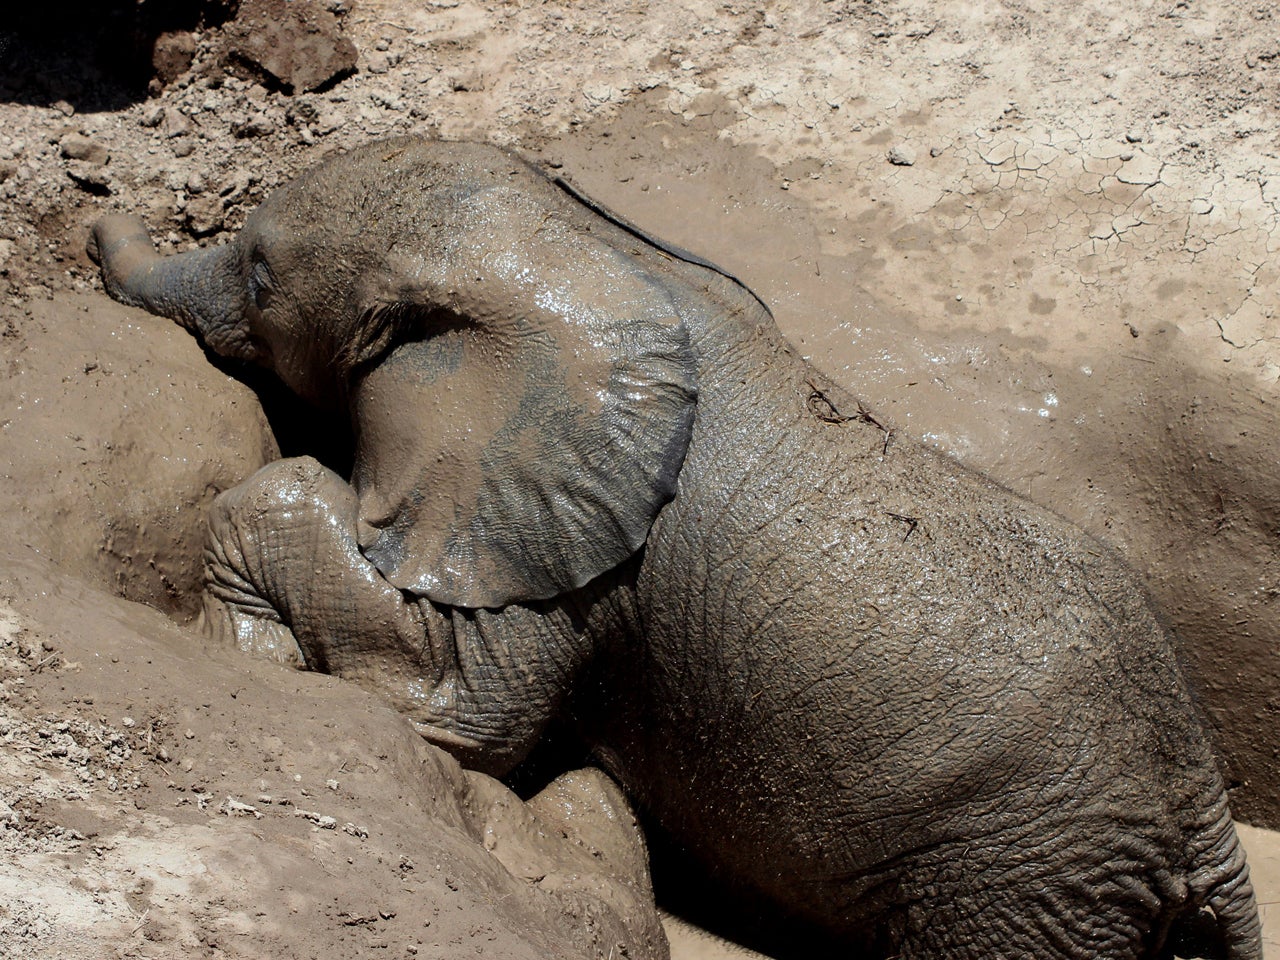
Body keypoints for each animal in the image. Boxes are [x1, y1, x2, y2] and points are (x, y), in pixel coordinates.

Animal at [87, 136, 1259, 960]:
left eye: (257, 276)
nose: (94, 224)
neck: (589, 253)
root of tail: (1207, 819)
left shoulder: (555, 545)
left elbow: (470, 708)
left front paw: (250, 645)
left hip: (1017, 876)